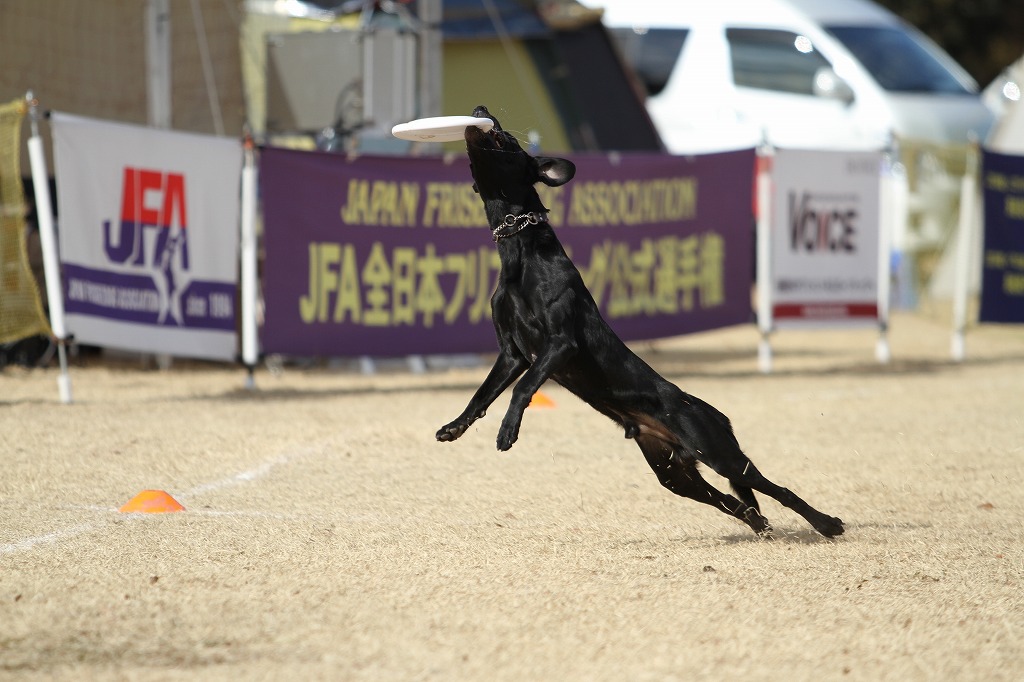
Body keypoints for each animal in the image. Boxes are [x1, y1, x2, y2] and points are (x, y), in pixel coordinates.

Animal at [436, 104, 843, 536]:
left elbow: (522, 388)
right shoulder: (512, 354)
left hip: (719, 454)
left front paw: (507, 430)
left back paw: (826, 523)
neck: (521, 255)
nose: (481, 110)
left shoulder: (560, 343)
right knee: (732, 501)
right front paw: (455, 426)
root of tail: (710, 413)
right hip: (673, 473)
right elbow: (482, 394)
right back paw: (757, 522)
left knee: (777, 490)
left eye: (507, 138)